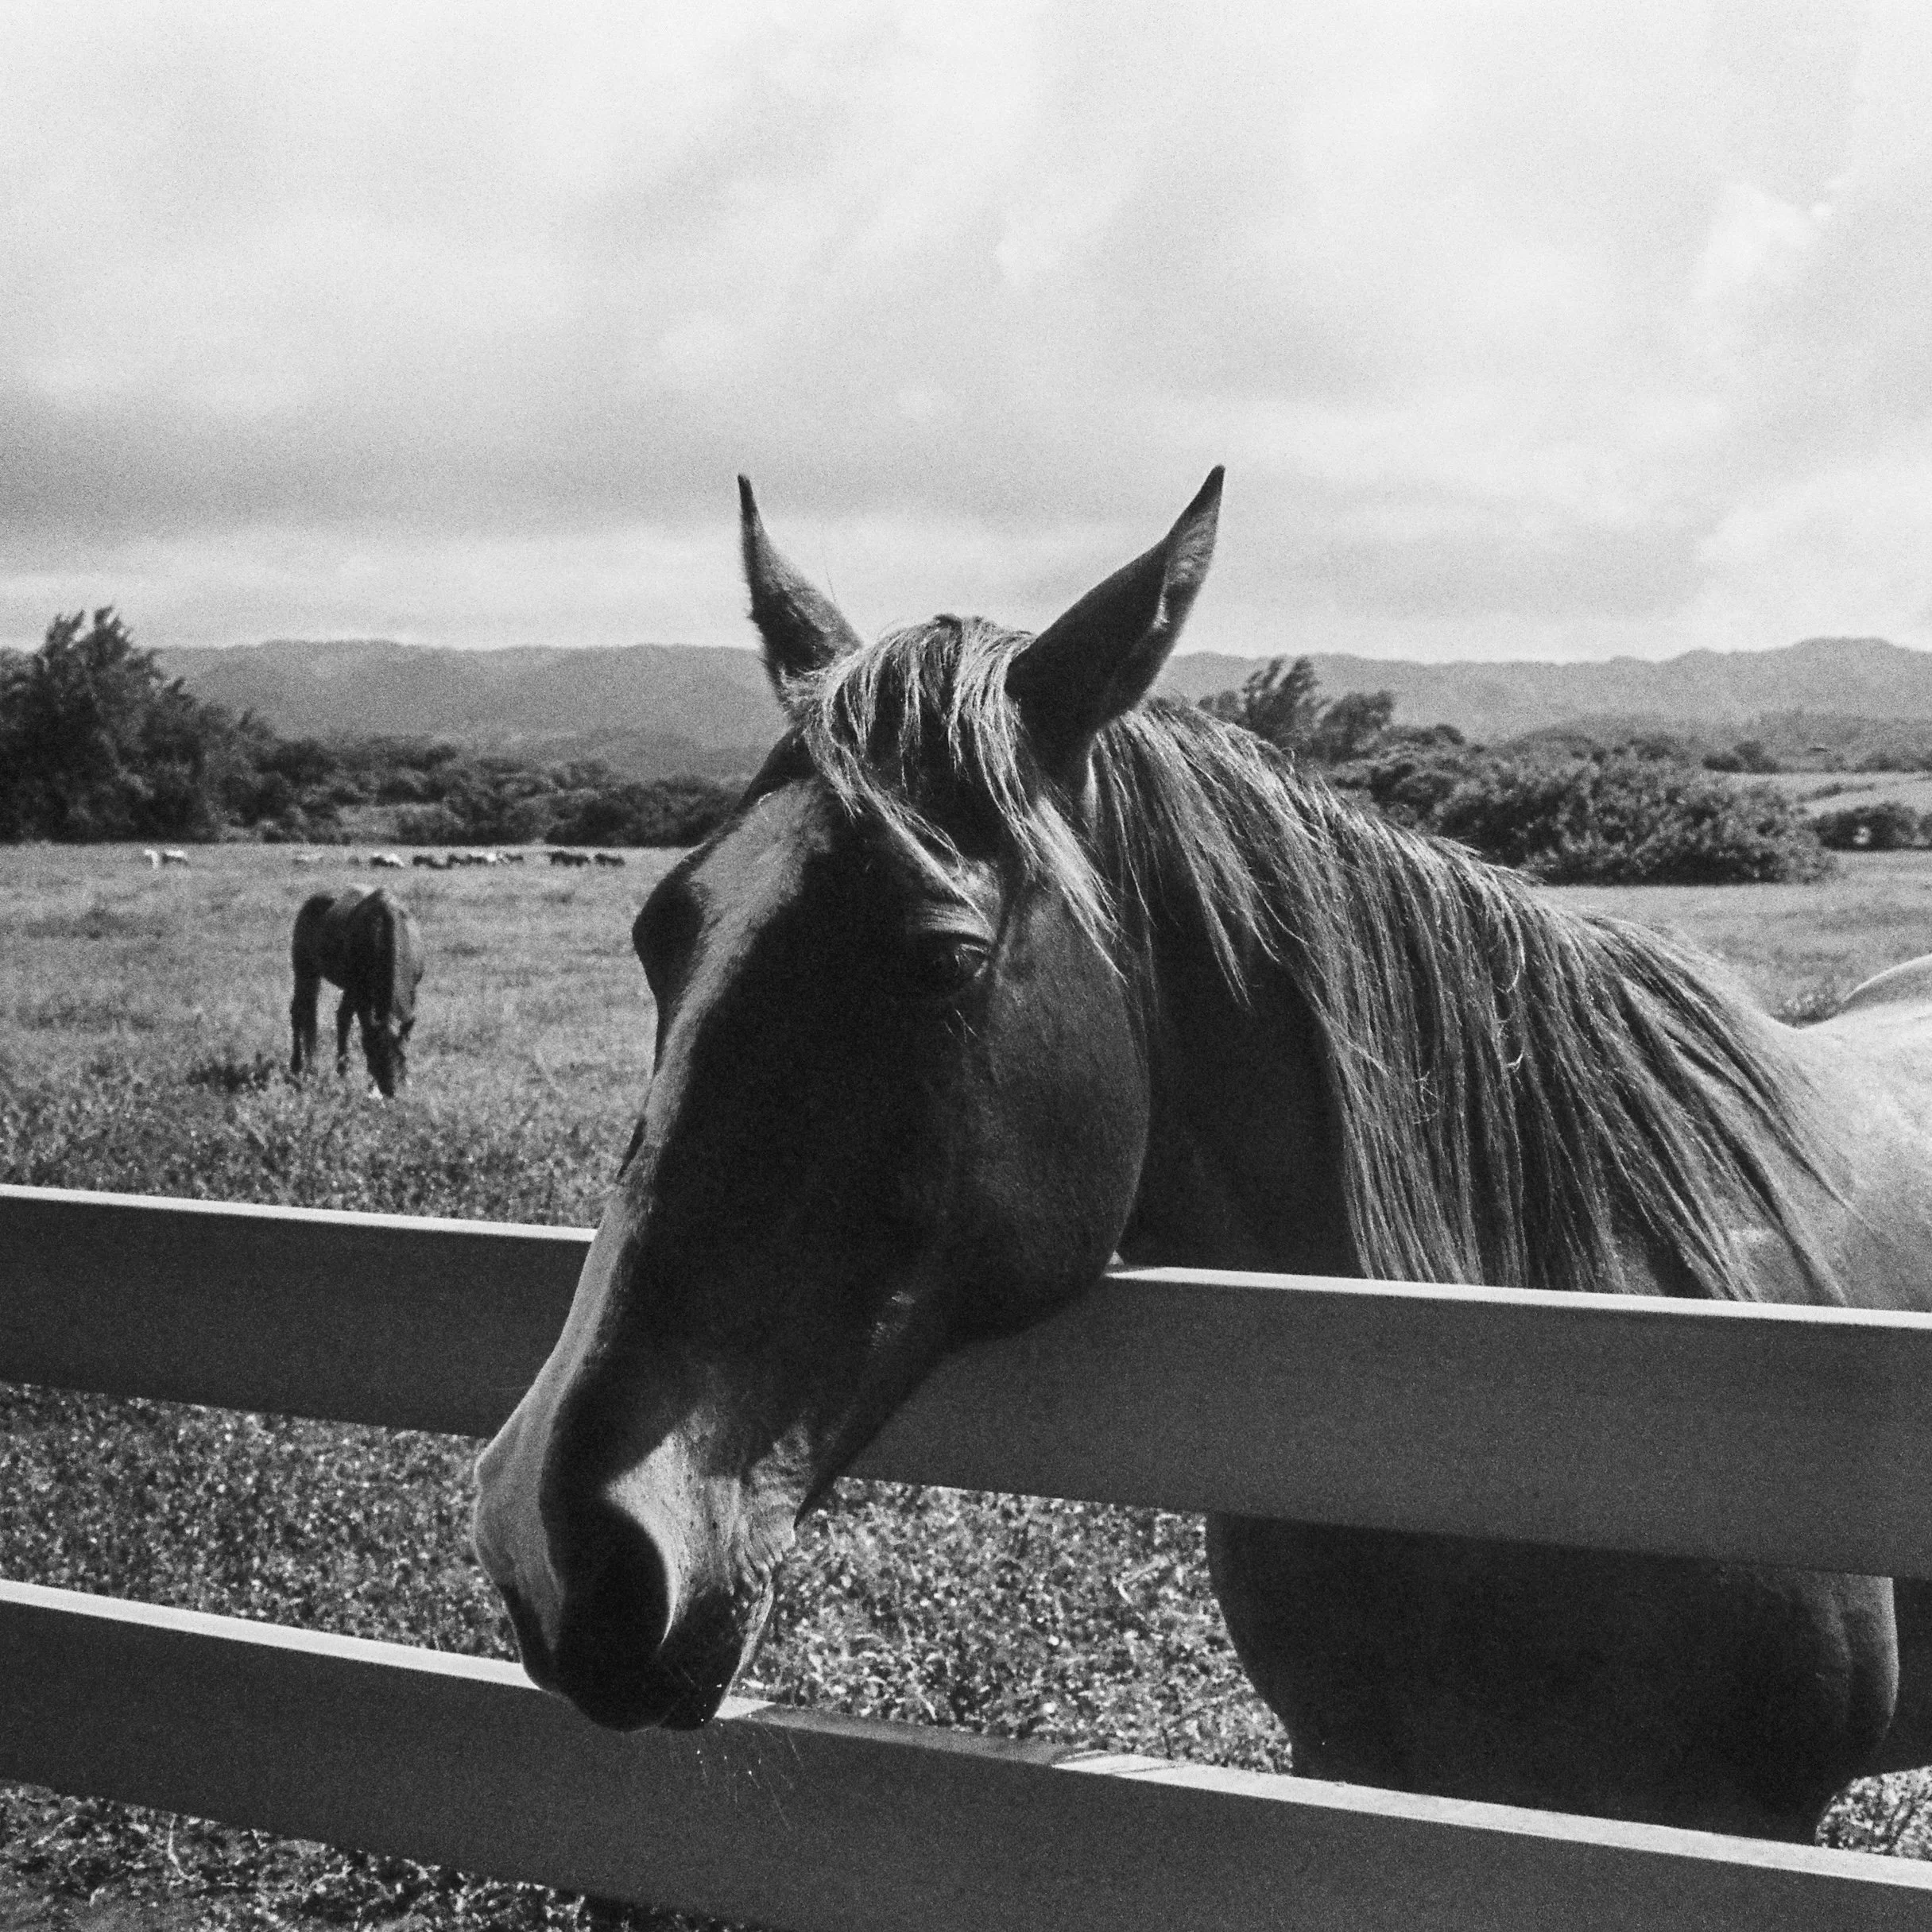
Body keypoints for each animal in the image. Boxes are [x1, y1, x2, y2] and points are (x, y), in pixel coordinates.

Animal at [288, 886, 425, 1097]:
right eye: (373, 1054)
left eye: (401, 1054)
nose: (390, 1090)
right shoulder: (362, 995)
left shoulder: (410, 991)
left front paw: (406, 1078)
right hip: (306, 972)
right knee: (300, 1012)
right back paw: (299, 1067)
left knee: (340, 1018)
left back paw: (342, 1070)